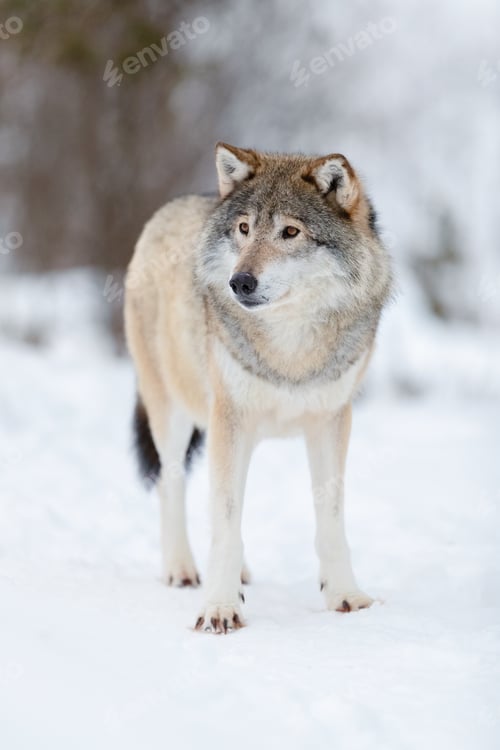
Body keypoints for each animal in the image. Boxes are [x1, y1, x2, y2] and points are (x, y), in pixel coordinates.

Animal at [124, 143, 392, 634]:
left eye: (290, 232)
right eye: (244, 229)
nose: (240, 282)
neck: (290, 349)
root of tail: (178, 204)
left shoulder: (331, 421)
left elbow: (330, 521)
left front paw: (345, 596)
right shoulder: (230, 419)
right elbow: (226, 521)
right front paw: (219, 607)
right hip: (174, 415)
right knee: (173, 485)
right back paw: (183, 570)